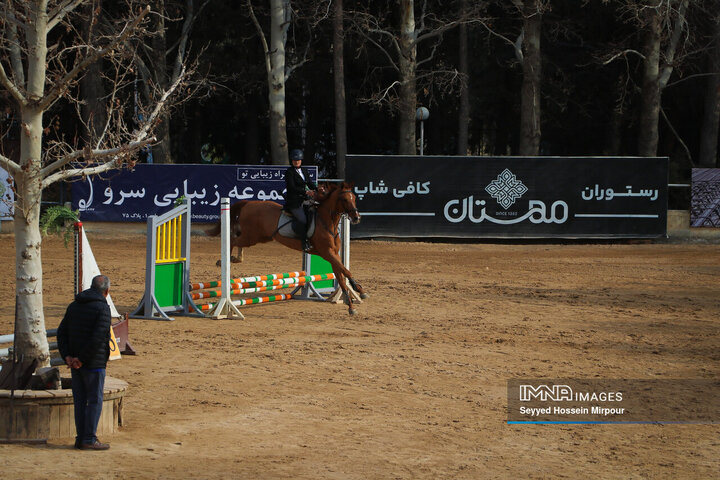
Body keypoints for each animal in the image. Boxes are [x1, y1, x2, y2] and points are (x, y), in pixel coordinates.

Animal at [207, 182, 366, 314]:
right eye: (345, 199)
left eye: (354, 198)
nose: (357, 218)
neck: (327, 222)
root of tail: (249, 203)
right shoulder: (327, 253)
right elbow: (345, 270)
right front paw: (359, 290)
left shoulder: (333, 254)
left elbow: (341, 274)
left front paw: (351, 303)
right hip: (251, 236)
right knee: (233, 239)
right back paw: (224, 260)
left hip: (259, 237)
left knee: (237, 240)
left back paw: (235, 258)